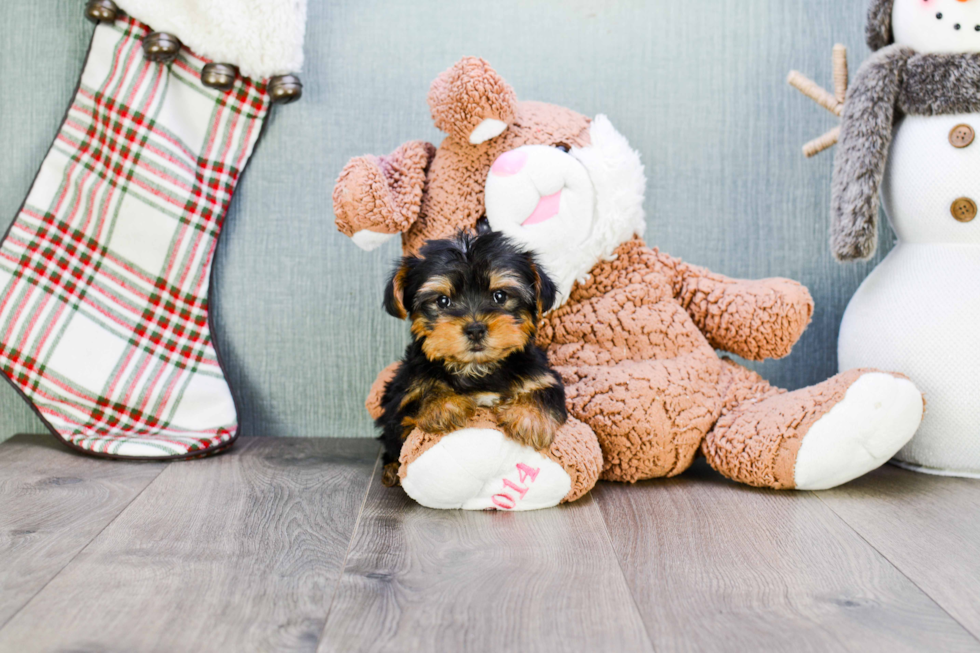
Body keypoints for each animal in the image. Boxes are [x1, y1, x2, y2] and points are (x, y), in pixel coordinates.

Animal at [378, 229, 572, 484]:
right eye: (443, 301)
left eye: (500, 296)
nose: (476, 329)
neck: (477, 368)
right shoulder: (401, 394)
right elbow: (417, 396)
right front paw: (444, 406)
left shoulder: (541, 374)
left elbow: (546, 390)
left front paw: (530, 419)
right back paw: (391, 469)